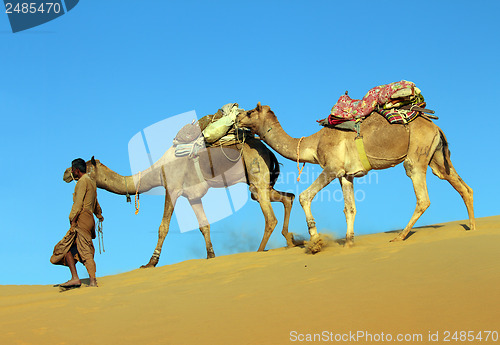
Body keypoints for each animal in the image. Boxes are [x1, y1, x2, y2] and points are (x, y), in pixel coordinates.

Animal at [63, 136, 296, 268]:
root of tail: (268, 151)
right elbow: (204, 225)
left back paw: (259, 251)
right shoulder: (194, 196)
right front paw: (211, 256)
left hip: (255, 172)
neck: (158, 170)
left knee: (270, 217)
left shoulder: (172, 189)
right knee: (287, 197)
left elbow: (163, 227)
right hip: (260, 181)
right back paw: (290, 240)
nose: (65, 173)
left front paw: (151, 262)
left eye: (83, 166)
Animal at [236, 101, 474, 251]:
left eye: (250, 112)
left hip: (417, 153)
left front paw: (315, 241)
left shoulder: (331, 168)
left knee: (422, 197)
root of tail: (435, 126)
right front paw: (349, 243)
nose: (237, 117)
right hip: (437, 156)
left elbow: (305, 196)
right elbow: (350, 208)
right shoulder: (346, 175)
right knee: (462, 185)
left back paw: (399, 236)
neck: (313, 143)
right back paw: (472, 227)